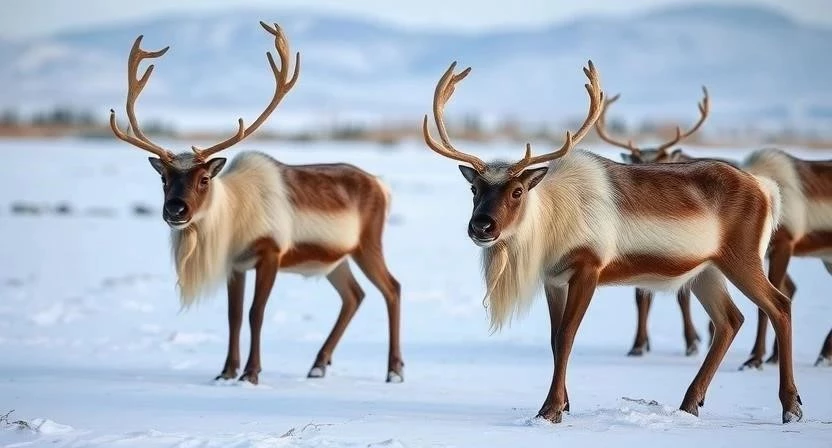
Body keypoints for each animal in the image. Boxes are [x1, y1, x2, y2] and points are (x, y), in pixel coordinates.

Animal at [108, 21, 404, 385]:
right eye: (164, 178)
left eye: (204, 179)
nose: (175, 210)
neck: (232, 218)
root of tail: (380, 184)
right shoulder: (235, 264)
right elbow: (233, 315)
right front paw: (226, 372)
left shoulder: (270, 253)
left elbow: (255, 312)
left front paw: (251, 373)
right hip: (336, 258)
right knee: (354, 296)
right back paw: (318, 364)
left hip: (368, 244)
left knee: (392, 289)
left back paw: (394, 370)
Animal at [421, 59, 803, 424]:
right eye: (475, 188)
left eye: (517, 191)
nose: (481, 227)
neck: (550, 223)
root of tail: (766, 189)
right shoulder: (553, 279)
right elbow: (553, 338)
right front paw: (565, 404)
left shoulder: (588, 268)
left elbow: (567, 336)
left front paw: (551, 409)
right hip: (705, 271)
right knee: (730, 321)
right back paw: (690, 404)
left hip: (742, 258)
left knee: (779, 305)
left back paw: (791, 406)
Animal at [597, 93, 829, 369]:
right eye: (636, 162)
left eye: (663, 161)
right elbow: (642, 296)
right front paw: (639, 345)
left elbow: (680, 297)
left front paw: (690, 343)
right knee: (787, 288)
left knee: (776, 297)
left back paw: (761, 355)